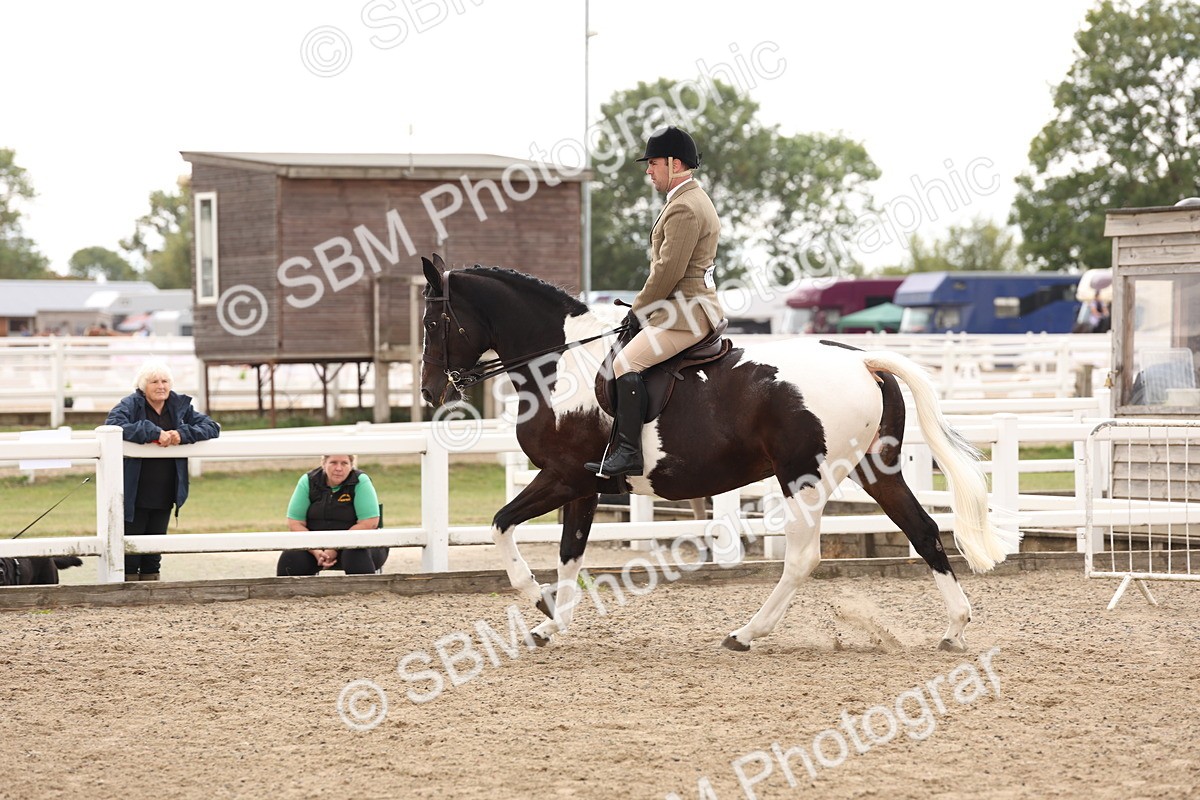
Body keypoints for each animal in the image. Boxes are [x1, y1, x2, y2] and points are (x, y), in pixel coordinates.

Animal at [417, 255, 1019, 652]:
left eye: (432, 321)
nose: (429, 391)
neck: (560, 364)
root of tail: (862, 359)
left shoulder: (565, 477)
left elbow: (501, 525)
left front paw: (538, 603)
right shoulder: (584, 487)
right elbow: (569, 553)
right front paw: (550, 619)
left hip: (803, 478)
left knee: (802, 558)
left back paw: (747, 633)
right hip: (876, 471)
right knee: (923, 530)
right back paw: (954, 628)